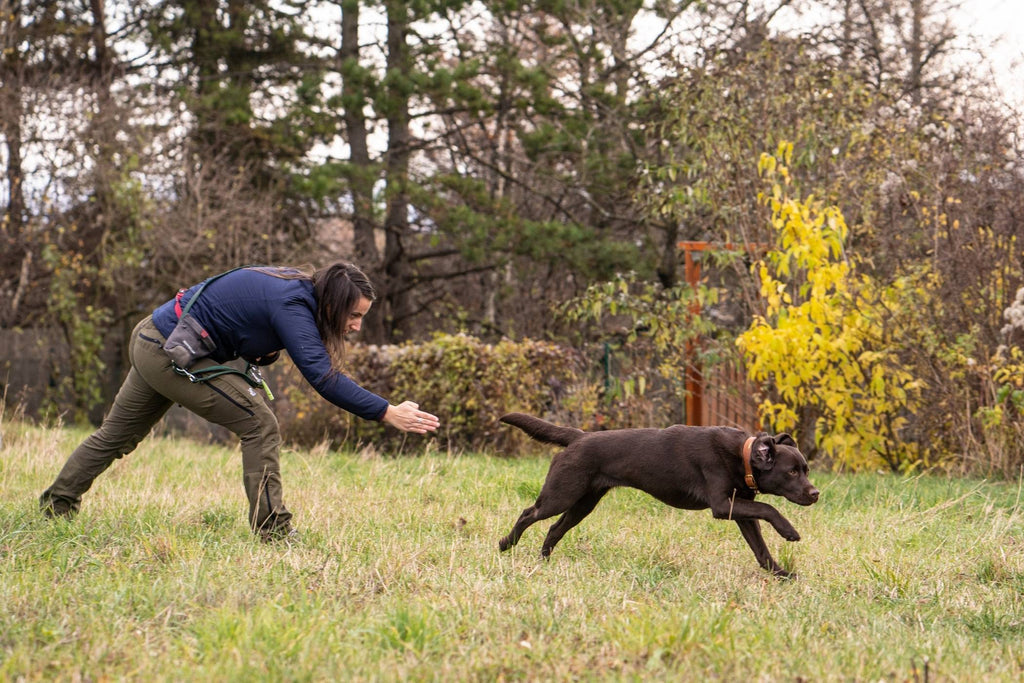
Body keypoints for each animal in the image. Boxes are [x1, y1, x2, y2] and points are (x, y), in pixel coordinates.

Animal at [493, 411, 815, 577]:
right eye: (791, 472)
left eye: (806, 469)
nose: (816, 493)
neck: (744, 456)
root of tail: (579, 436)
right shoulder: (723, 506)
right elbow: (770, 509)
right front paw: (789, 531)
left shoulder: (740, 510)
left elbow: (760, 549)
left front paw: (781, 574)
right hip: (561, 494)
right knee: (529, 514)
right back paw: (506, 544)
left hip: (583, 503)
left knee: (554, 528)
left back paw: (543, 560)